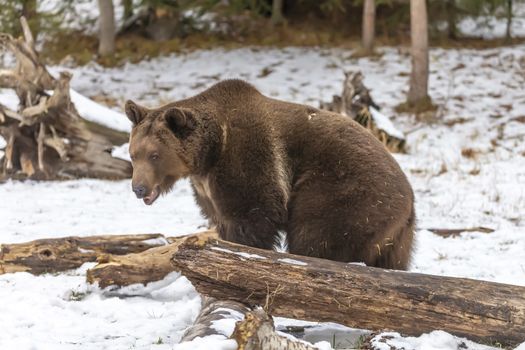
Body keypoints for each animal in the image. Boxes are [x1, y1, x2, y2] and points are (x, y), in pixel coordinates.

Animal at [124, 79, 414, 270]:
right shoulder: (206, 189)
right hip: (396, 237)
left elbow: (252, 217)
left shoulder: (246, 160)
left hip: (345, 191)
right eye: (133, 154)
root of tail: (409, 198)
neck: (209, 153)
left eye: (155, 155)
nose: (138, 188)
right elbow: (222, 220)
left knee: (315, 235)